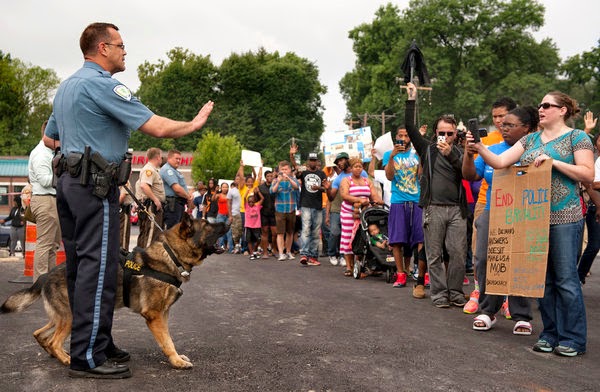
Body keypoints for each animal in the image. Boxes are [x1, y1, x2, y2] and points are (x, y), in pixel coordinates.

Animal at [0, 214, 229, 370]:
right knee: (54, 341)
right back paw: (66, 358)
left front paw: (177, 358)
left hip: (60, 316)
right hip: (71, 316)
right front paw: (176, 361)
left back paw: (59, 353)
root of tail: (46, 275)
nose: (227, 223)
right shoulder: (155, 316)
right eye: (207, 225)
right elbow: (167, 341)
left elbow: (168, 338)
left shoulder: (164, 314)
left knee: (40, 335)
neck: (171, 255)